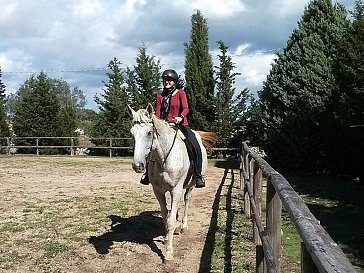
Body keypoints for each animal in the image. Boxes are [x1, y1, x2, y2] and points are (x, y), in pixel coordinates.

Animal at [127, 103, 216, 260]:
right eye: (132, 133)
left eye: (149, 133)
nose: (138, 166)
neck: (163, 158)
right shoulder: (158, 190)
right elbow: (165, 216)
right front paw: (166, 237)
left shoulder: (176, 189)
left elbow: (170, 220)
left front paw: (168, 252)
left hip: (190, 185)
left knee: (186, 200)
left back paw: (184, 226)